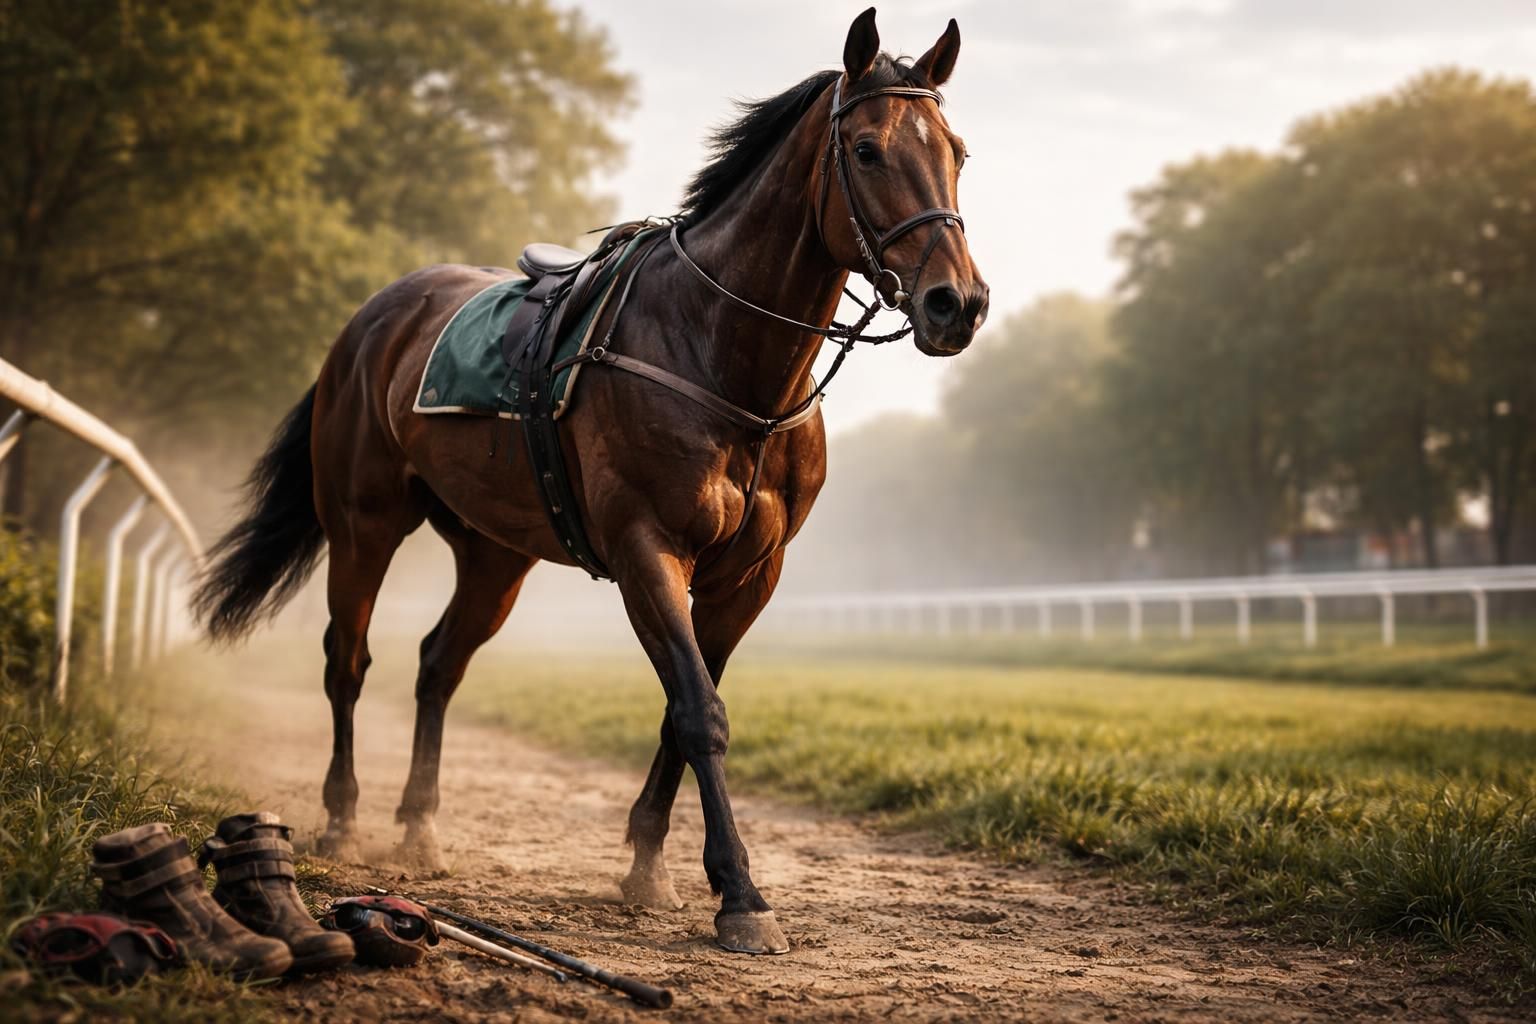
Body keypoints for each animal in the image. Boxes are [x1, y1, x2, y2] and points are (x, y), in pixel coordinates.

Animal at [194, 7, 988, 955]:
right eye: (866, 150)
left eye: (957, 150)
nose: (956, 304)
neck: (719, 355)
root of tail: (373, 318)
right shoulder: (649, 549)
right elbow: (699, 711)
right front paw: (740, 895)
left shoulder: (750, 575)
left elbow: (686, 709)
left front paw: (649, 865)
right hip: (364, 522)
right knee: (347, 660)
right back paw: (344, 817)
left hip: (495, 552)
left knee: (437, 663)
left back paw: (419, 825)